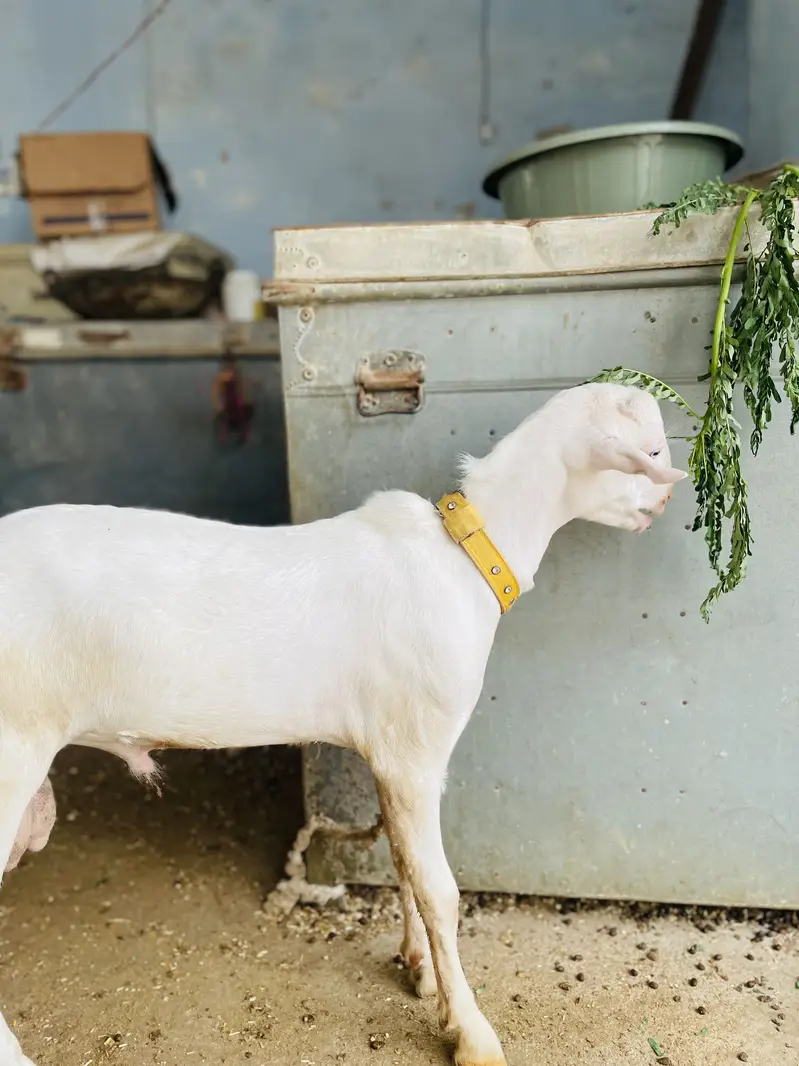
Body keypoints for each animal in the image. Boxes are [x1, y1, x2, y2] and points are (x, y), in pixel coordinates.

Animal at [0, 382, 686, 1066]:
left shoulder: (392, 751)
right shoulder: (416, 751)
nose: (665, 498)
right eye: (652, 451)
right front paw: (471, 1031)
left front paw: (421, 970)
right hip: (14, 747)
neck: (464, 559)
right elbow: (439, 888)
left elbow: (402, 862)